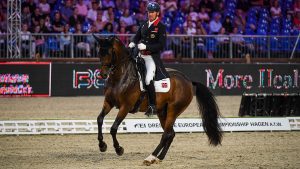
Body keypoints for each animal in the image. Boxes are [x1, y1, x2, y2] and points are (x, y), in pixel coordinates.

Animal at [94, 35, 223, 166]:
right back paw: (159, 157)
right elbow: (99, 119)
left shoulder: (125, 107)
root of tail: (189, 81)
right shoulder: (108, 102)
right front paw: (102, 145)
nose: (103, 75)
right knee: (171, 133)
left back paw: (150, 157)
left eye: (109, 53)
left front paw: (118, 149)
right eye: (99, 52)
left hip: (173, 110)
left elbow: (113, 128)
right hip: (162, 111)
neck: (122, 77)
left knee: (166, 134)